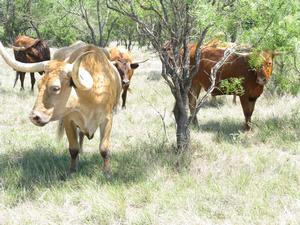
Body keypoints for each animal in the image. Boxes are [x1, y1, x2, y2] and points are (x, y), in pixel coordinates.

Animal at [0, 41, 122, 172]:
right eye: (38, 85)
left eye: (56, 88)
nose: (34, 117)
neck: (89, 95)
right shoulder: (68, 120)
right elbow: (73, 148)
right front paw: (72, 170)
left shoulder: (107, 119)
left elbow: (104, 148)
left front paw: (107, 171)